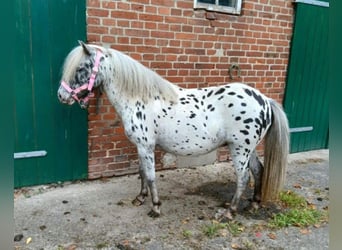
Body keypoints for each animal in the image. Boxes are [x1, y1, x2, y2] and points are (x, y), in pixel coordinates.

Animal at [58, 41, 288, 219]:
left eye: (81, 68)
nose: (62, 96)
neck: (139, 98)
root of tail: (264, 100)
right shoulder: (141, 147)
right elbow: (142, 173)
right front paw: (140, 198)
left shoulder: (146, 146)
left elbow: (151, 176)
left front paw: (155, 208)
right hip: (248, 149)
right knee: (258, 170)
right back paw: (254, 204)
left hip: (240, 149)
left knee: (243, 178)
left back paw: (229, 212)